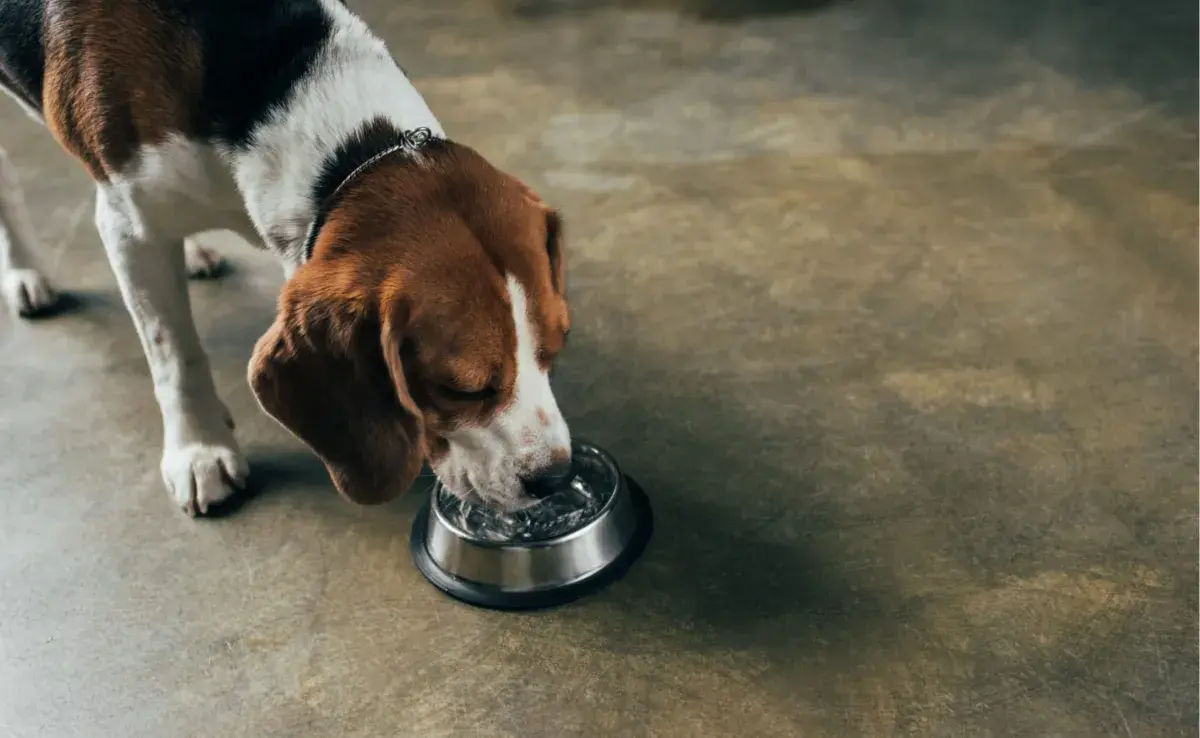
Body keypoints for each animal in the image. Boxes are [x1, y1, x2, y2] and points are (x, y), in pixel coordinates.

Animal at [0, 0, 573, 516]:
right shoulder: (127, 227)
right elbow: (174, 355)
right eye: (458, 389)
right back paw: (26, 275)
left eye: (554, 349)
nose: (557, 478)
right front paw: (199, 451)